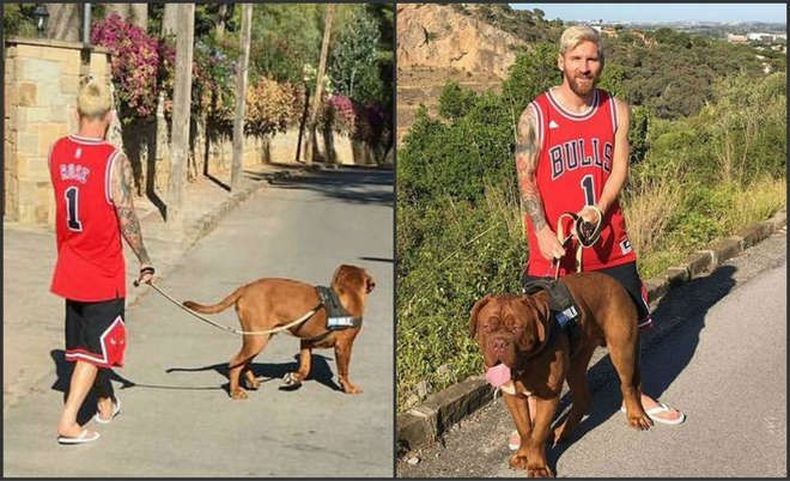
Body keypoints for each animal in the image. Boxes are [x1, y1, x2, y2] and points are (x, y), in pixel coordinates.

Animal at [184, 264, 376, 400]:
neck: (347, 294)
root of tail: (245, 288)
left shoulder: (306, 342)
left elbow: (305, 368)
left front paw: (294, 378)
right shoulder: (344, 346)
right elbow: (344, 371)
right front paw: (349, 388)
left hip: (259, 337)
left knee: (244, 362)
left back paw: (251, 382)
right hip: (258, 338)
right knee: (235, 363)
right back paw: (235, 391)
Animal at [474, 272, 652, 474]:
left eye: (517, 328)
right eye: (486, 327)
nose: (499, 343)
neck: (528, 362)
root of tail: (614, 282)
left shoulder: (548, 397)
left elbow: (538, 433)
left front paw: (537, 465)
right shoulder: (513, 395)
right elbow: (525, 429)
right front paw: (523, 455)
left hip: (623, 350)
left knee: (628, 385)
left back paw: (636, 415)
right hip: (576, 363)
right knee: (582, 398)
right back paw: (561, 432)